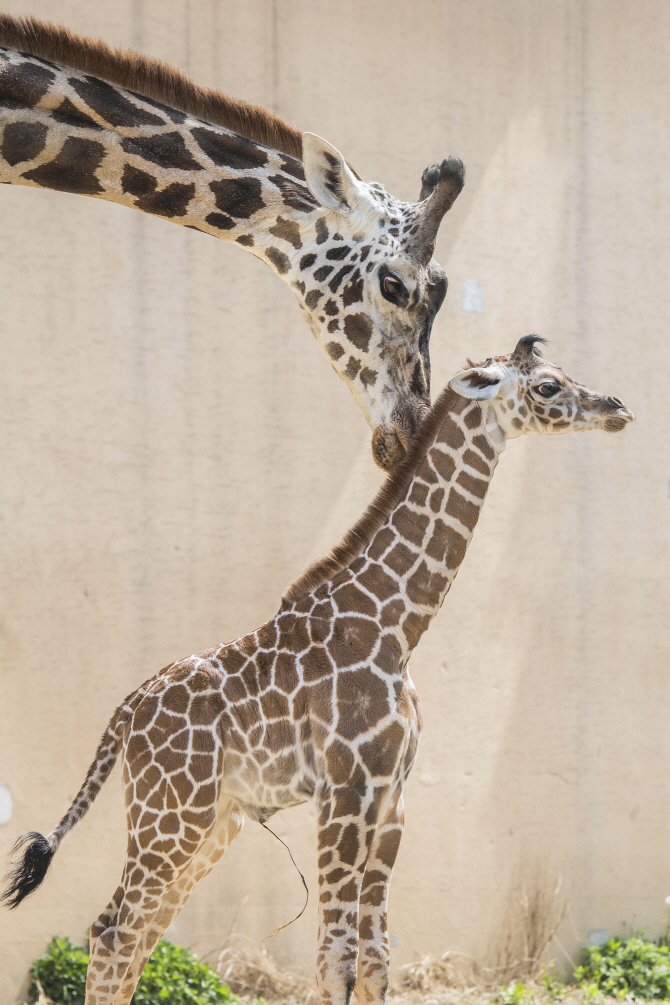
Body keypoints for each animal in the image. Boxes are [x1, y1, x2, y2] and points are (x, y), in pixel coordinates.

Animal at [3, 337, 634, 1005]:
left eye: (563, 373)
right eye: (546, 386)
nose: (616, 408)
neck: (395, 626)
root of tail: (126, 711)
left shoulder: (392, 797)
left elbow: (378, 958)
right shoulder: (345, 788)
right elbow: (336, 959)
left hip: (212, 822)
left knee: (131, 932)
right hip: (171, 814)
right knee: (115, 934)